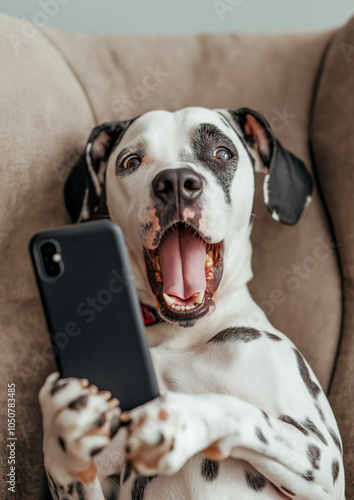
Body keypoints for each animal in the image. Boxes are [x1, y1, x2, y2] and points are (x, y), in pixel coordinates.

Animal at [39, 107, 346, 498]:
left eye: (221, 153)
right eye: (131, 161)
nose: (174, 182)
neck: (181, 335)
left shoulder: (322, 461)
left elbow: (240, 412)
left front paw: (184, 417)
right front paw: (64, 421)